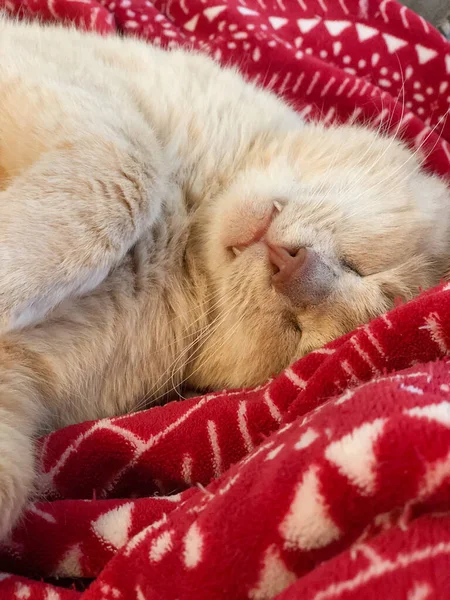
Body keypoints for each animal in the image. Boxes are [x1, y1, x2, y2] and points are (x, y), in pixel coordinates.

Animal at [0, 15, 450, 540]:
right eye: (359, 264)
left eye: (298, 331)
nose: (293, 269)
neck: (189, 226)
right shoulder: (74, 90)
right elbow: (130, 174)